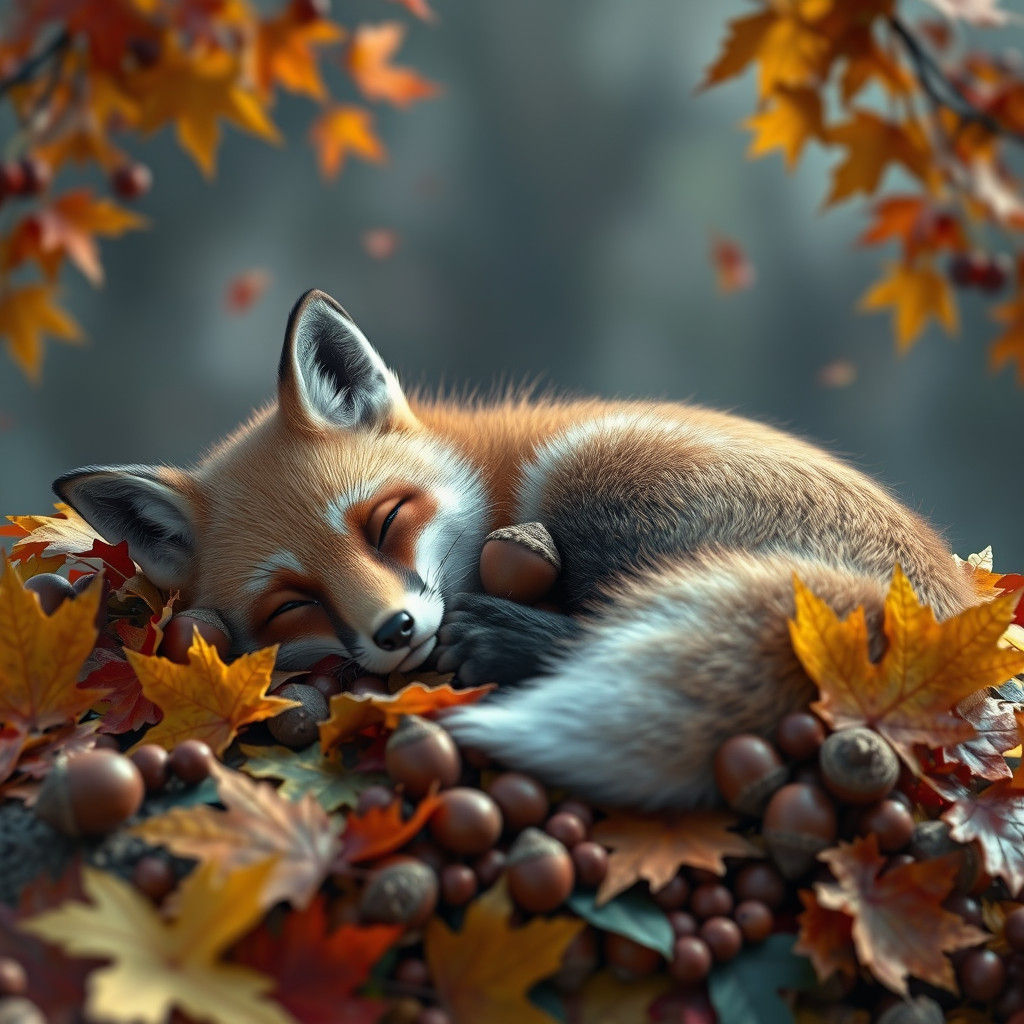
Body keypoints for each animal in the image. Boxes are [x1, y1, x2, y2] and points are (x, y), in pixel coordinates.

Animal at [54, 289, 978, 810]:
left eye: (384, 522)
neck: (484, 470)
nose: (395, 631)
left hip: (589, 473)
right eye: (291, 602)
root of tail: (928, 600)